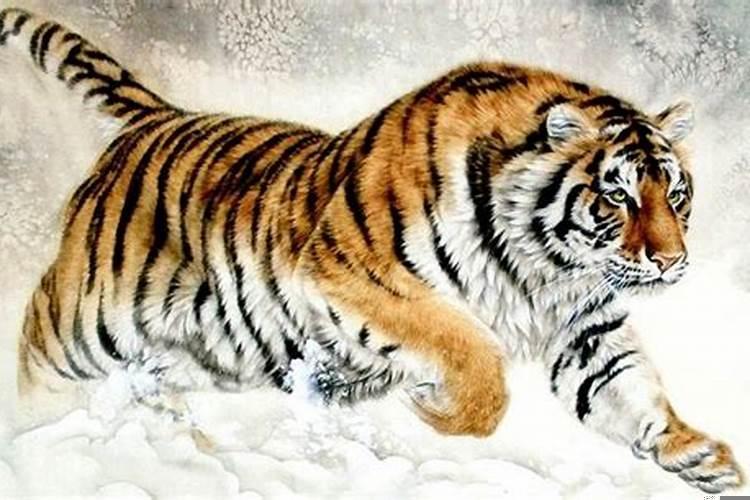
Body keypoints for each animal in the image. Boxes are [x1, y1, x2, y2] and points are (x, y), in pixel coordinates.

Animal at [1, 7, 743, 494]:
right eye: (617, 196)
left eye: (676, 194)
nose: (671, 261)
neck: (546, 268)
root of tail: (159, 118)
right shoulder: (356, 273)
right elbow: (466, 346)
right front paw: (438, 407)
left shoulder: (586, 328)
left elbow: (630, 390)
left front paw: (699, 456)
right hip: (78, 324)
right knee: (35, 353)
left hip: (207, 349)